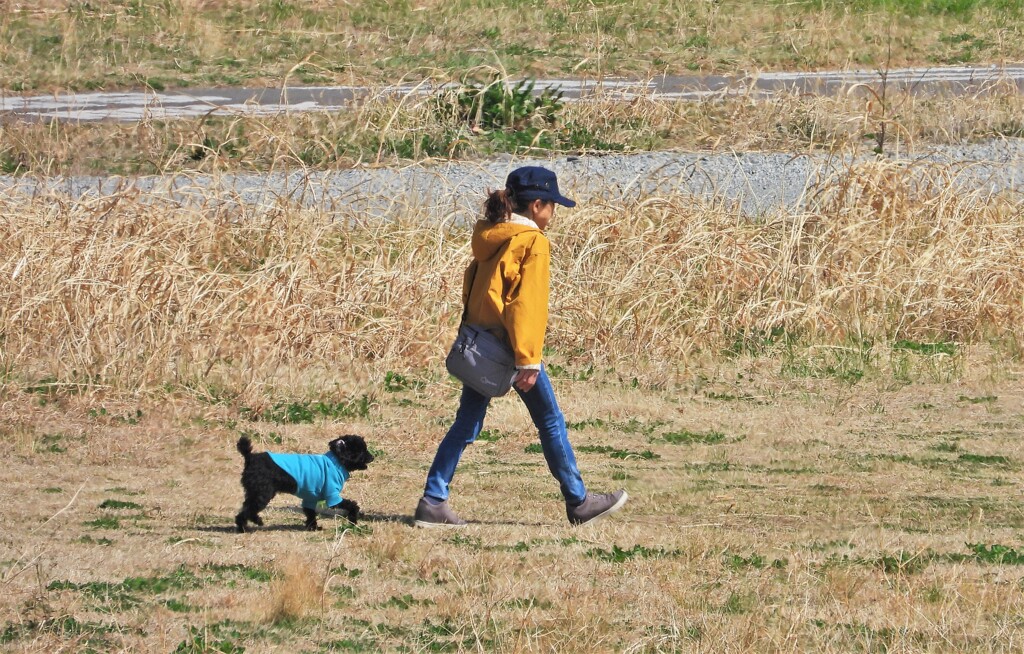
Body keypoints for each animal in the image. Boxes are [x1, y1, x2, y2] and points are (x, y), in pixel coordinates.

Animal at [234, 433, 374, 532]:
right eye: (361, 450)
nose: (372, 457)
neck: (336, 461)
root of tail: (250, 457)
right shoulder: (332, 496)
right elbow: (352, 505)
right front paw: (353, 519)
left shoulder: (310, 498)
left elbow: (310, 513)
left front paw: (313, 528)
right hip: (263, 493)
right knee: (249, 509)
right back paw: (250, 524)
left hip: (255, 491)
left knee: (246, 507)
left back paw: (246, 525)